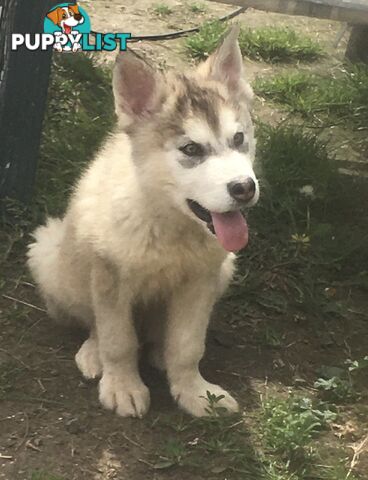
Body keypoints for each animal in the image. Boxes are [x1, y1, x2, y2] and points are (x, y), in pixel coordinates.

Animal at [27, 27, 258, 416]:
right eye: (191, 149)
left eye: (239, 139)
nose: (244, 188)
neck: (170, 225)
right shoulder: (110, 278)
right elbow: (118, 340)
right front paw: (122, 385)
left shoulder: (200, 280)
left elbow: (188, 345)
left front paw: (195, 391)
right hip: (53, 260)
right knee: (95, 325)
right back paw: (94, 353)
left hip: (225, 270)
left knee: (155, 335)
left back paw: (159, 352)